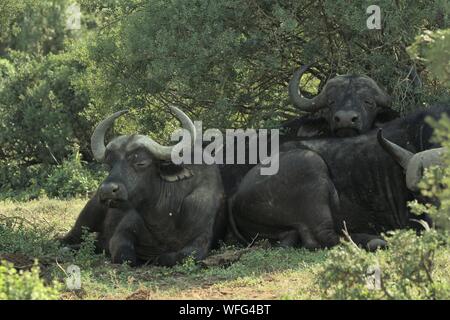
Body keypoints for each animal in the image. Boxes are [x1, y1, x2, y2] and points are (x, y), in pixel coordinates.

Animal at [230, 105, 448, 250]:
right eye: (419, 196)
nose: (440, 226)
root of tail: (236, 196)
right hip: (311, 164)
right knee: (322, 237)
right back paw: (374, 240)